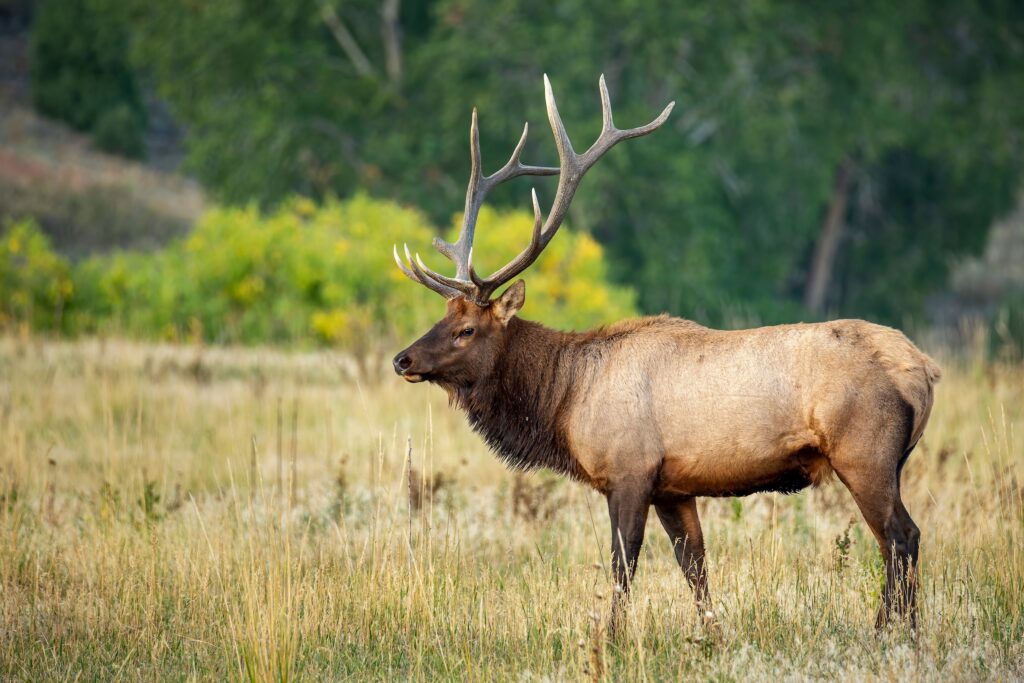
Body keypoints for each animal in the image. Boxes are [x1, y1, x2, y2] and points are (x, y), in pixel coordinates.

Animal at [391, 74, 941, 634]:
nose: (403, 360)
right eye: (441, 317)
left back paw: (892, 634)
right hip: (890, 461)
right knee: (896, 542)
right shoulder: (674, 488)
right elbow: (694, 566)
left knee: (902, 537)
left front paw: (610, 638)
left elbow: (623, 567)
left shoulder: (629, 471)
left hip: (864, 453)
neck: (565, 400)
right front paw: (711, 635)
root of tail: (923, 371)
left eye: (465, 329)